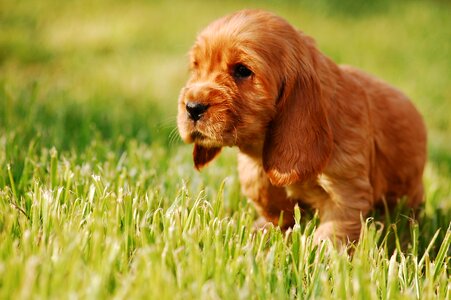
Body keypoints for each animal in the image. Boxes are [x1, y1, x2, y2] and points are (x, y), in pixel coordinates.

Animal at [177, 9, 428, 244]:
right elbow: (263, 191)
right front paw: (264, 230)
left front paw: (322, 254)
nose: (192, 107)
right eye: (196, 68)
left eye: (242, 70)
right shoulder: (257, 172)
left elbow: (335, 228)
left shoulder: (347, 187)